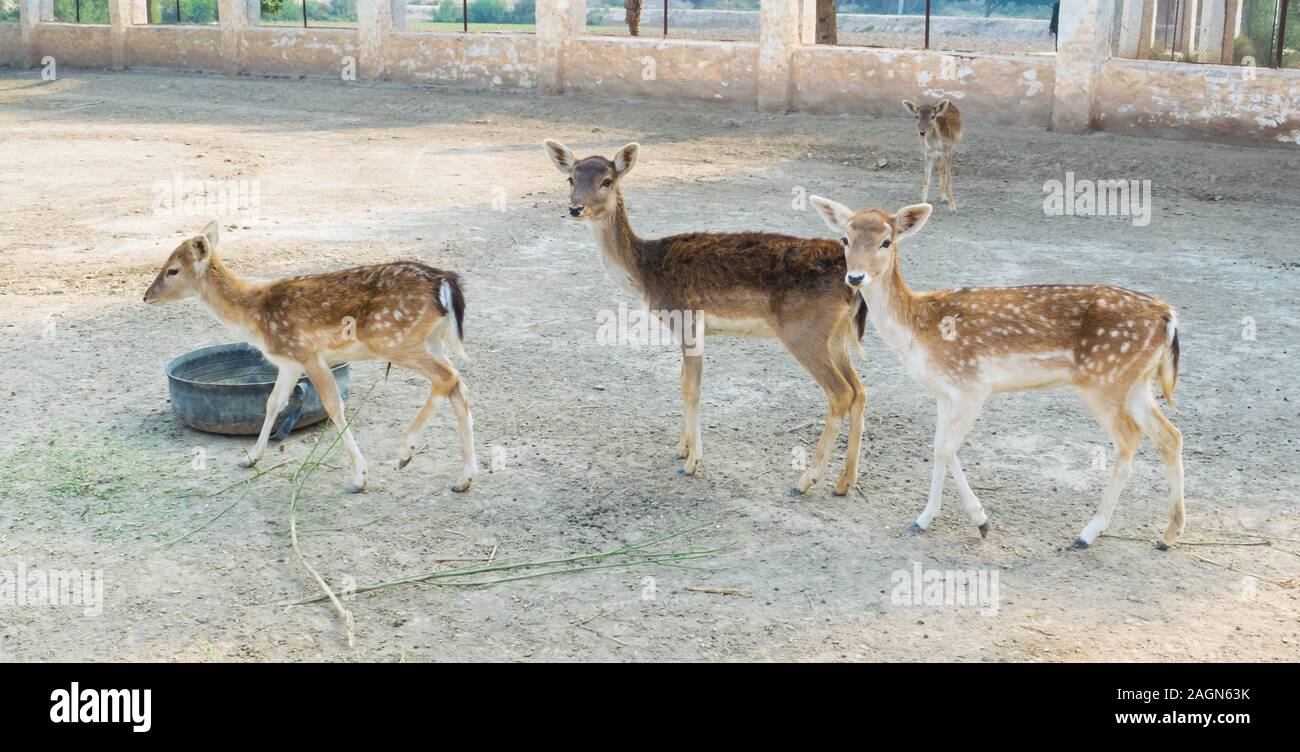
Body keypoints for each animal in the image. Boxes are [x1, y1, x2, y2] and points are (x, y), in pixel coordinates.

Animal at [144, 221, 477, 494]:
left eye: (173, 269)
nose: (146, 296)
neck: (255, 317)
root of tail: (445, 282)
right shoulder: (289, 362)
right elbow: (272, 403)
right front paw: (251, 458)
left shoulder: (308, 353)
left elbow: (334, 405)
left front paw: (359, 478)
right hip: (431, 340)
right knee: (459, 386)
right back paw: (464, 479)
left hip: (393, 339)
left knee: (446, 378)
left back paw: (405, 452)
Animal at [544, 139, 869, 495]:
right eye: (571, 178)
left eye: (607, 181)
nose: (575, 208)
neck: (646, 274)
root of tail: (854, 282)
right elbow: (681, 381)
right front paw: (680, 448)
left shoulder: (687, 318)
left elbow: (692, 387)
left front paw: (692, 462)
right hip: (836, 335)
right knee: (860, 391)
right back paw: (845, 481)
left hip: (803, 331)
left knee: (841, 393)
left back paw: (806, 480)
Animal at [809, 197, 1185, 550]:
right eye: (845, 238)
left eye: (887, 241)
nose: (855, 277)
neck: (917, 331)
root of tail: (1168, 315)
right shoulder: (944, 392)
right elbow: (937, 446)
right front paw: (923, 519)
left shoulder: (973, 384)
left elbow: (946, 448)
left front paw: (981, 522)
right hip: (1136, 383)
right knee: (1171, 435)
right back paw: (1168, 534)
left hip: (1103, 381)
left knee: (1130, 439)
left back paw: (1088, 533)